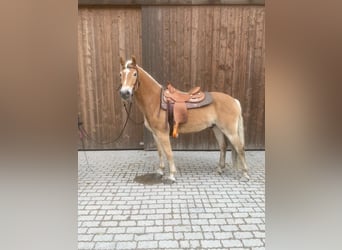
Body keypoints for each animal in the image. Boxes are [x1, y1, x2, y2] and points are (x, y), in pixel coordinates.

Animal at [118, 56, 248, 182]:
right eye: (120, 74)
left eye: (134, 74)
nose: (124, 93)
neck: (155, 101)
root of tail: (234, 100)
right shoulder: (155, 134)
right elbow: (160, 152)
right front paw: (160, 171)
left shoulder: (163, 133)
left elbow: (168, 153)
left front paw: (171, 175)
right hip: (217, 128)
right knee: (223, 147)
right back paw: (220, 169)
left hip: (230, 131)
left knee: (240, 148)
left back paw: (245, 174)